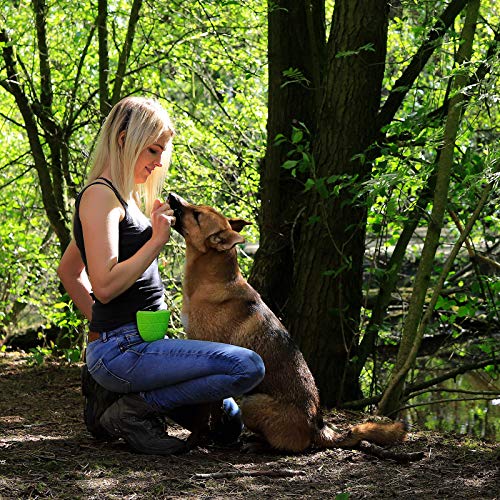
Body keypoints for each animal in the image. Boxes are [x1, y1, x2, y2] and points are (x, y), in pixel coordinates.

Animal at [168, 194, 406, 454]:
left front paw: (199, 439)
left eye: (197, 215)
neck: (211, 281)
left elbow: (207, 410)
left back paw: (256, 444)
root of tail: (317, 426)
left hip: (251, 402)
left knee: (281, 445)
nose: (171, 197)